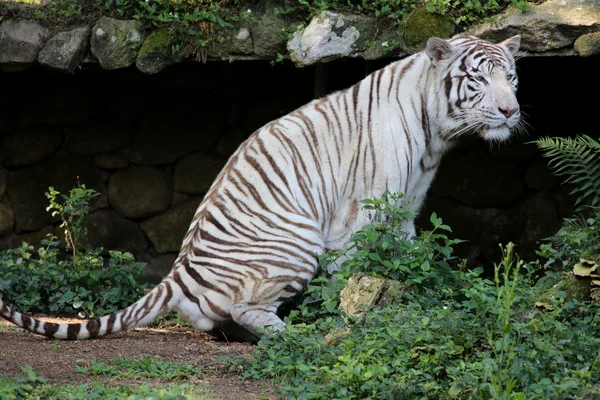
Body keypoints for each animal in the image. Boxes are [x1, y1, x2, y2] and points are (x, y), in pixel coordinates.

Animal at [0, 33, 524, 340]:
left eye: (512, 77)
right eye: (478, 79)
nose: (510, 111)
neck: (436, 133)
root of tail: (178, 272)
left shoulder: (405, 213)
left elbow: (416, 265)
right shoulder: (363, 215)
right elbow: (356, 276)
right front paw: (353, 320)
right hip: (297, 241)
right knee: (242, 309)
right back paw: (290, 333)